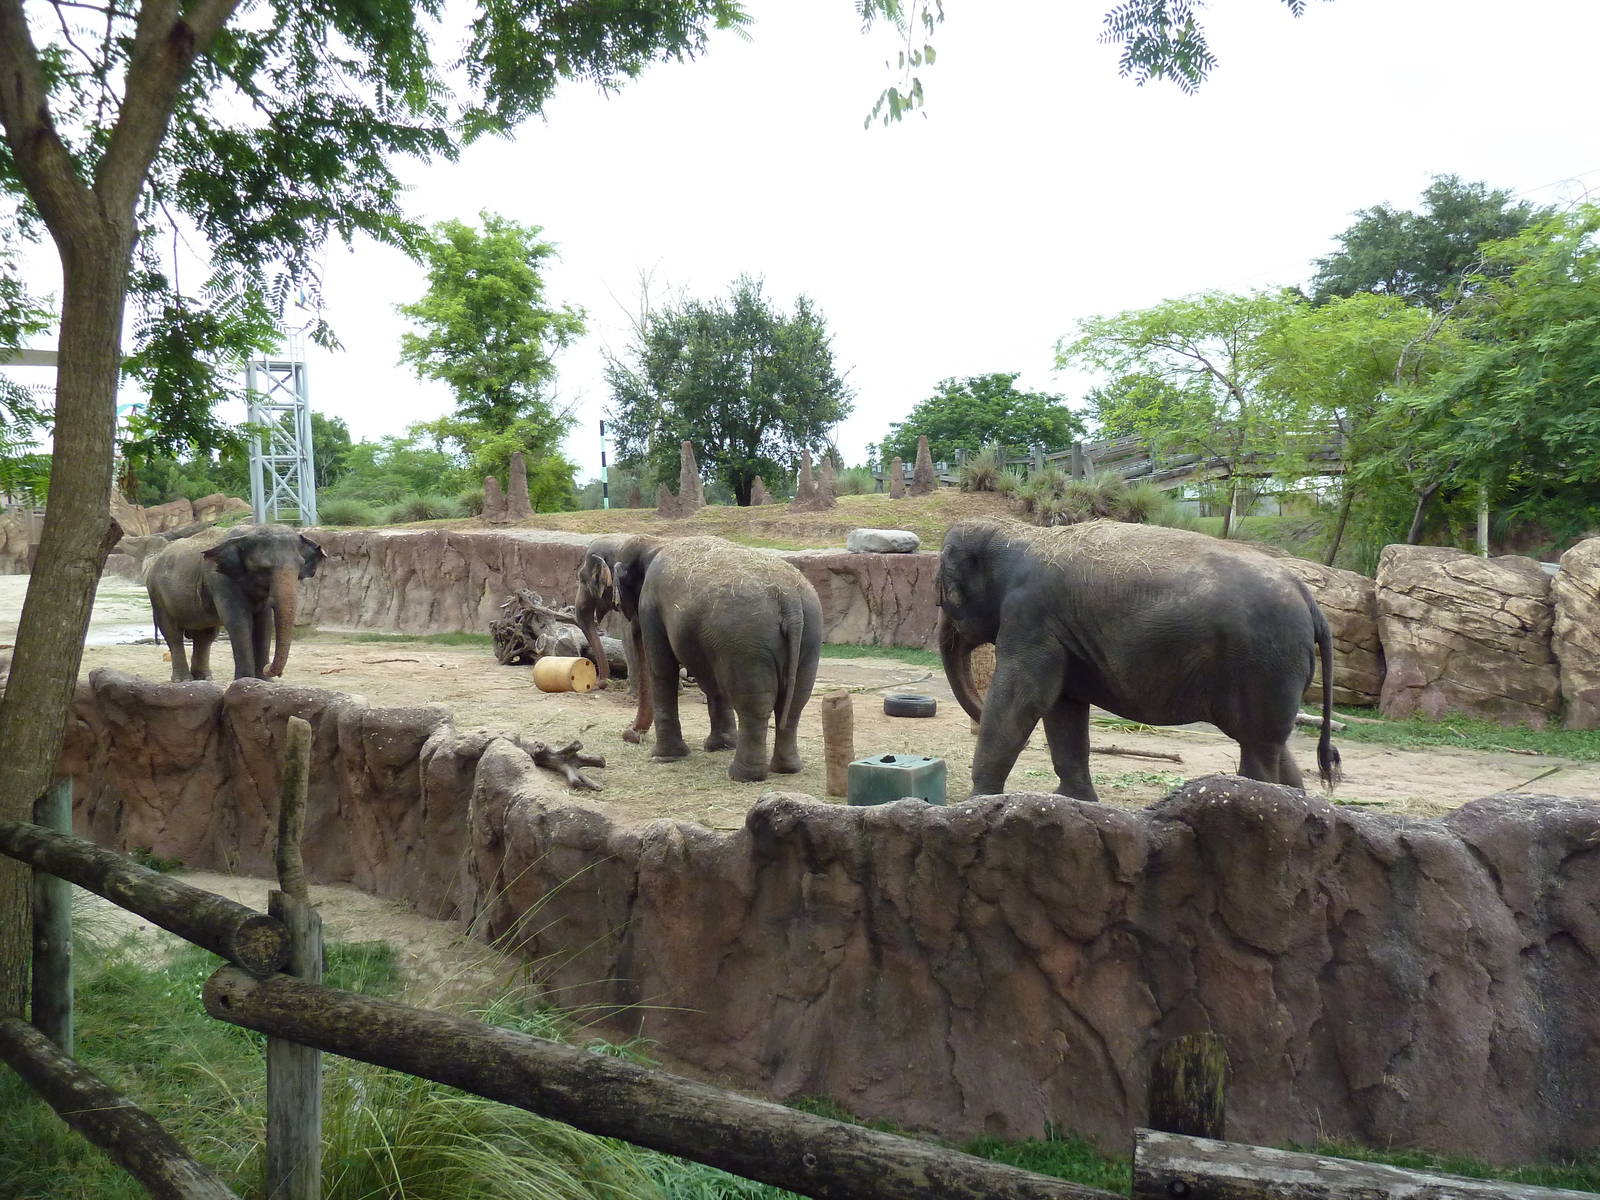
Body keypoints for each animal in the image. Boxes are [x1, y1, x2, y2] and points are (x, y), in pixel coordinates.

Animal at [144, 523, 327, 682]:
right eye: (264, 568)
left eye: (301, 565)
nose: (269, 668)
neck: (249, 532)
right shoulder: (221, 579)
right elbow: (238, 621)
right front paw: (245, 680)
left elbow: (264, 624)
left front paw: (264, 681)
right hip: (157, 595)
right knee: (173, 634)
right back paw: (183, 680)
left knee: (205, 636)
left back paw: (204, 678)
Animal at [576, 534, 823, 781]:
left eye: (581, 579)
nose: (631, 733)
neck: (655, 543)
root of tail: (790, 601)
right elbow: (711, 681)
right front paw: (719, 746)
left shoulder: (650, 605)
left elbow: (662, 668)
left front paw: (664, 757)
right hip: (809, 638)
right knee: (795, 702)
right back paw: (786, 769)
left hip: (748, 643)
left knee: (755, 705)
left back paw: (743, 776)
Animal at [937, 516, 1339, 800]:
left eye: (945, 593)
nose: (974, 714)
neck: (1021, 534)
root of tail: (1310, 601)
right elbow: (1064, 707)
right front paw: (1077, 802)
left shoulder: (1030, 616)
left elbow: (1024, 699)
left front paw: (977, 801)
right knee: (1272, 744)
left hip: (1264, 663)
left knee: (1258, 746)